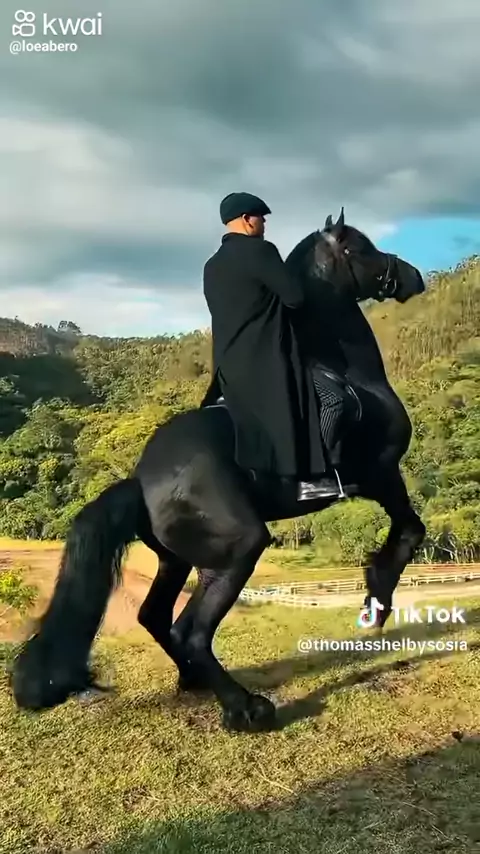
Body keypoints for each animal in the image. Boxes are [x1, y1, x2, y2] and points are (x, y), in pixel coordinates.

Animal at [10, 211, 426, 734]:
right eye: (359, 248)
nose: (413, 276)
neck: (352, 376)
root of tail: (141, 479)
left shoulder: (378, 478)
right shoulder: (381, 472)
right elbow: (410, 530)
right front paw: (376, 600)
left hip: (178, 558)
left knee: (157, 617)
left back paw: (196, 682)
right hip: (237, 548)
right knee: (190, 631)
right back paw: (244, 708)